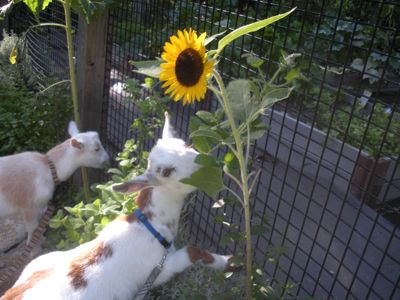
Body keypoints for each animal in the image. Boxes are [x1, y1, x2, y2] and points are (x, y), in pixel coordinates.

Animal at [2, 113, 238, 298]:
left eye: (188, 147)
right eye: (166, 171)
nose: (212, 166)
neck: (150, 224)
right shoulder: (157, 271)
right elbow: (192, 251)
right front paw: (228, 263)